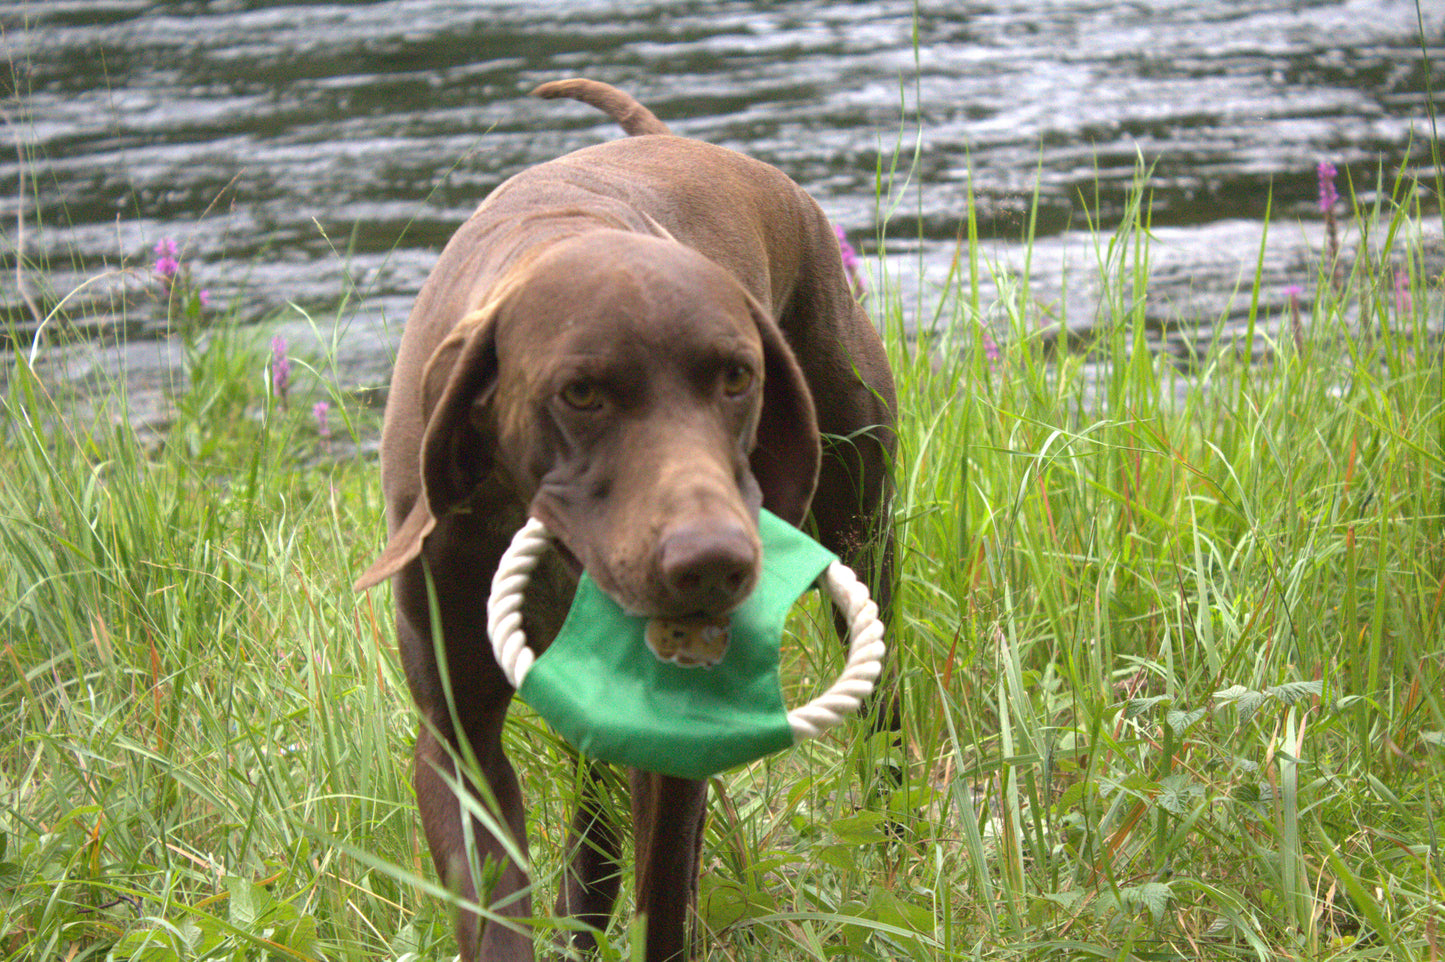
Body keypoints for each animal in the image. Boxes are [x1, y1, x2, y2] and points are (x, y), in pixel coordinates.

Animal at [352, 78, 890, 953]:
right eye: (580, 393)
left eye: (737, 377)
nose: (713, 564)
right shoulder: (458, 742)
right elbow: (495, 910)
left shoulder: (665, 744)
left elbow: (661, 896)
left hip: (861, 533)